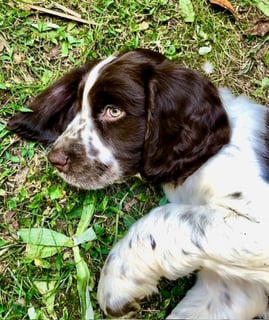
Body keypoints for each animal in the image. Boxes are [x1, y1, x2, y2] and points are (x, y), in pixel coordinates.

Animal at [7, 48, 268, 318]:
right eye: (77, 108)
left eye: (113, 111)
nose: (56, 159)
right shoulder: (233, 287)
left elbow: (166, 220)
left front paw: (116, 282)